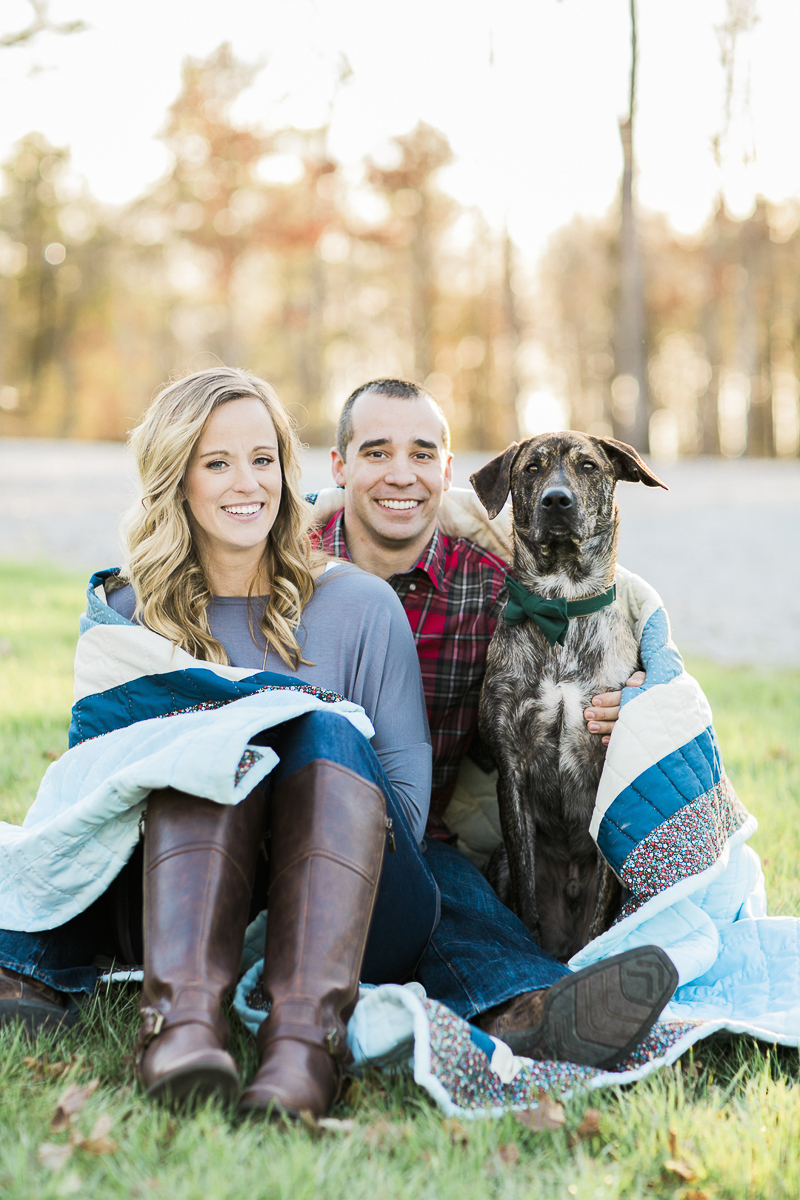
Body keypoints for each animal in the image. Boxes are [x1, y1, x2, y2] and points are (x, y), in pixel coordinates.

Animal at [470, 436, 671, 960]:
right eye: (532, 468)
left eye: (588, 466)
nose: (556, 501)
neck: (560, 604)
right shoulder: (511, 769)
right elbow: (525, 893)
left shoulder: (608, 766)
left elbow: (602, 910)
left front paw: (595, 953)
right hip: (497, 859)